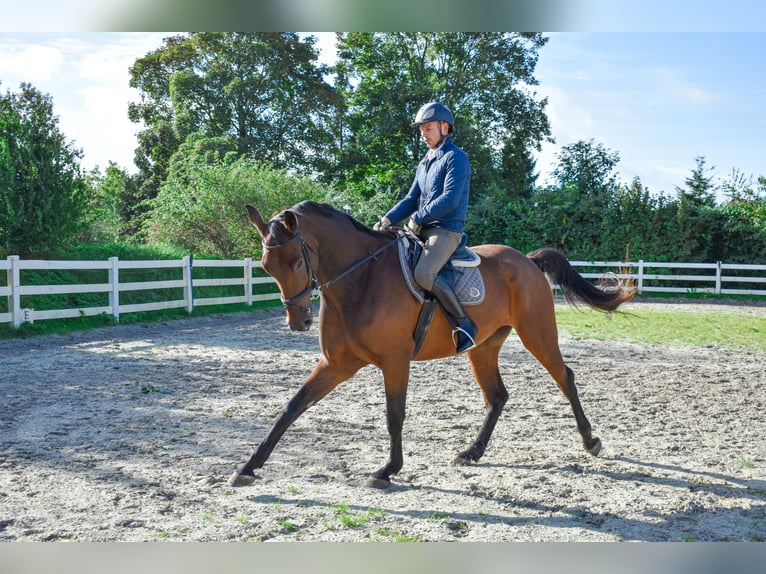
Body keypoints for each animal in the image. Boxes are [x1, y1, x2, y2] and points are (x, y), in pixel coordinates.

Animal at [229, 200, 634, 488]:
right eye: (265, 267)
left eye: (297, 262)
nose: (298, 322)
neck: (360, 279)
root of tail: (528, 261)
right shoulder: (336, 364)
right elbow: (292, 408)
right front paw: (248, 467)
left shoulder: (395, 361)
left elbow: (394, 415)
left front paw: (387, 470)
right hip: (483, 347)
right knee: (497, 396)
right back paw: (472, 453)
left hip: (538, 335)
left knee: (565, 378)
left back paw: (591, 441)